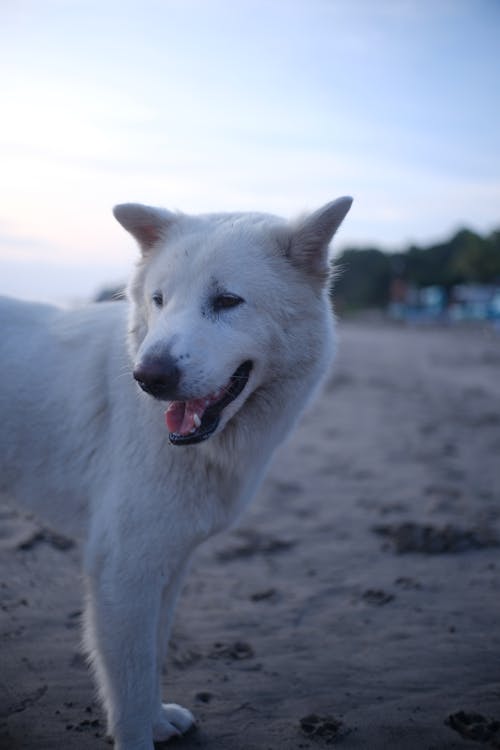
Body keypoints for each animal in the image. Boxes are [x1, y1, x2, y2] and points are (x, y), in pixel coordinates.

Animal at [0, 197, 352, 748]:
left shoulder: (166, 562)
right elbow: (129, 682)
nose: (148, 378)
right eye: (159, 300)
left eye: (227, 301)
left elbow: (152, 658)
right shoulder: (123, 571)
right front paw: (139, 734)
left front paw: (158, 720)